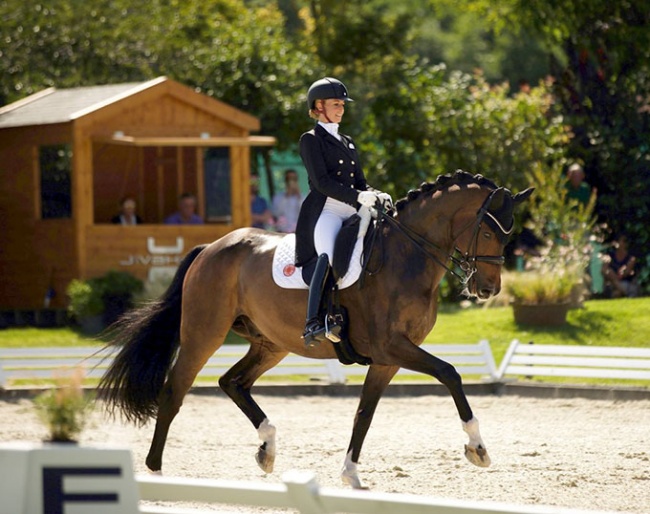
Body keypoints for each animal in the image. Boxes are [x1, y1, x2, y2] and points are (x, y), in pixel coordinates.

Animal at [97, 170, 532, 486]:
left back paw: (267, 449)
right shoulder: (392, 347)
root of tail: (212, 247)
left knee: (232, 382)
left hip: (271, 343)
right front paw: (477, 448)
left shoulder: (388, 359)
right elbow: (450, 373)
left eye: (509, 234)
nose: (488, 289)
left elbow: (364, 413)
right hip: (204, 334)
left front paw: (350, 474)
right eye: (488, 231)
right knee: (175, 391)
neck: (405, 256)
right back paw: (156, 470)